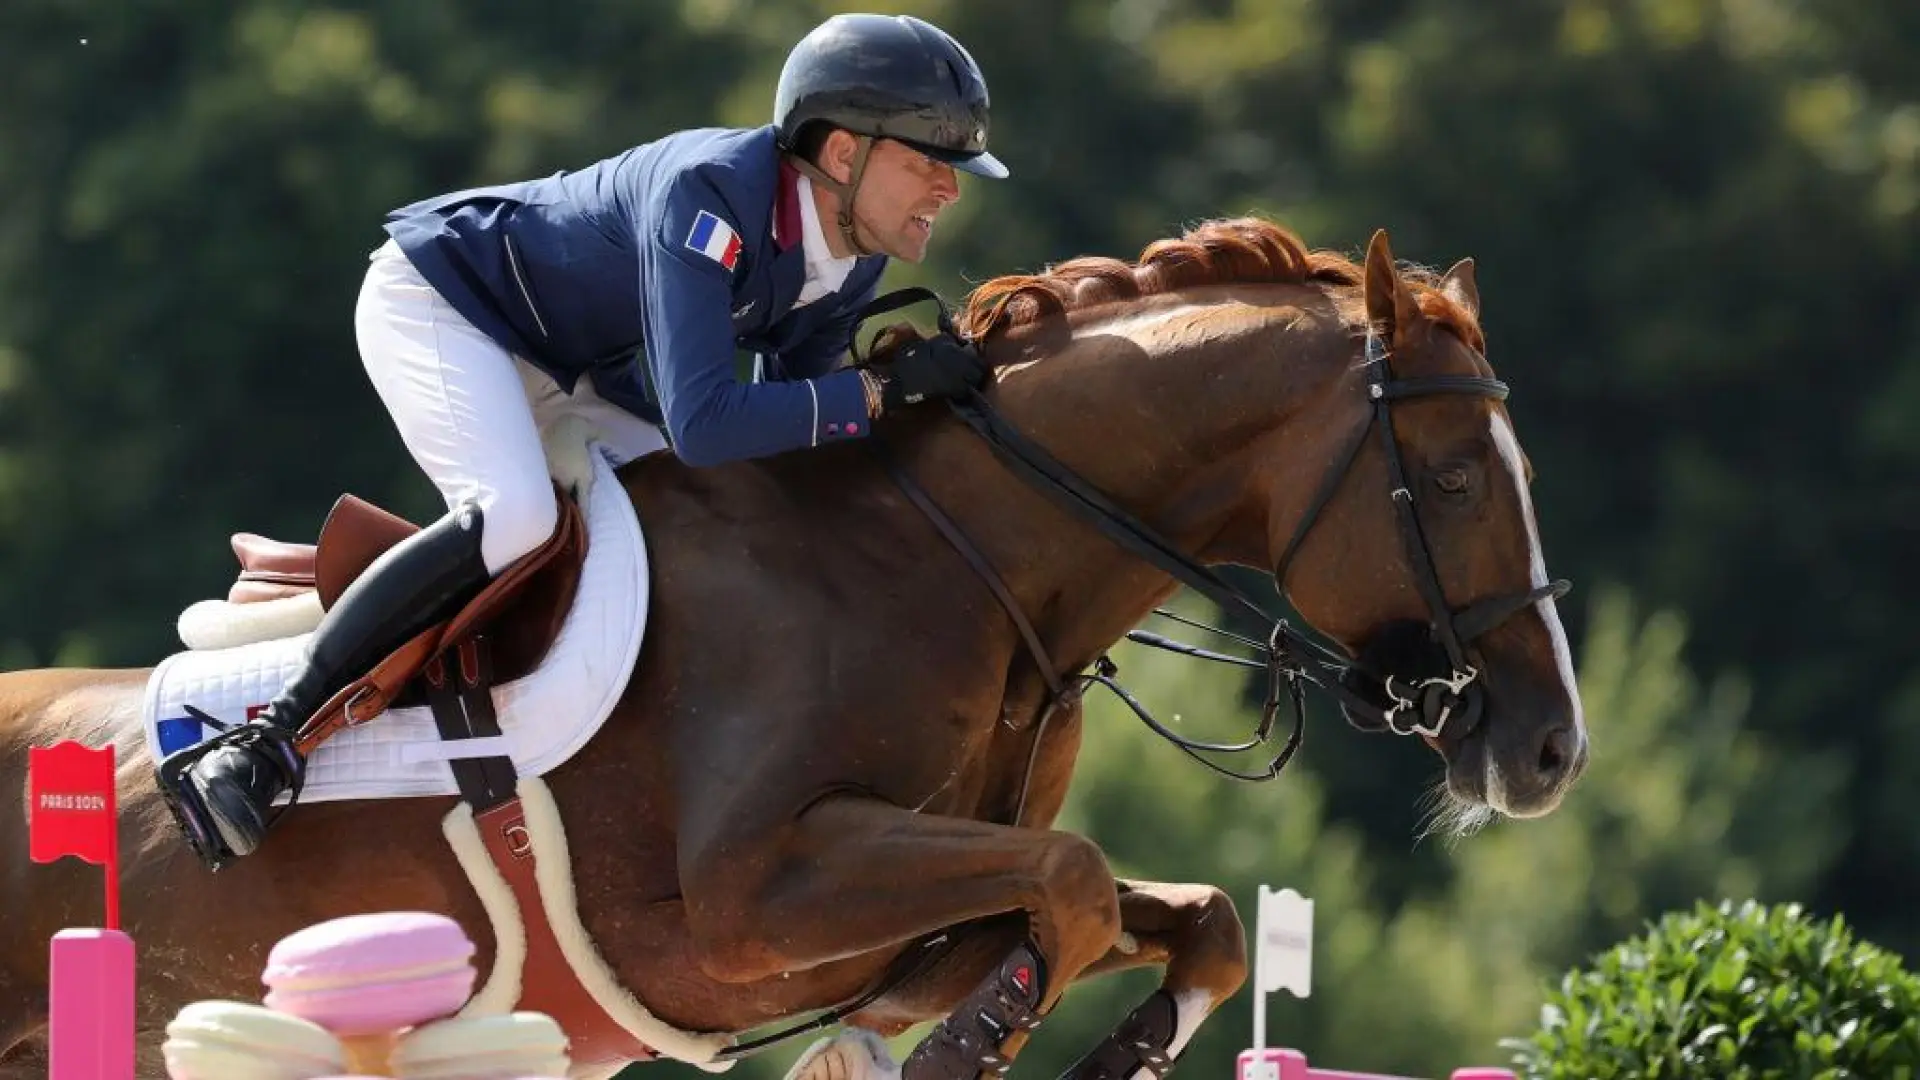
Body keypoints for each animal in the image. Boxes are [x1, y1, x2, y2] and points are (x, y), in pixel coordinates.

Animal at [0, 219, 1586, 1079]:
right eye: (1454, 478)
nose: (1552, 748)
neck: (943, 562)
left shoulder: (910, 864)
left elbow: (1184, 918)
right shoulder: (744, 909)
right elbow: (1068, 887)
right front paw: (947, 1038)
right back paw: (239, 772)